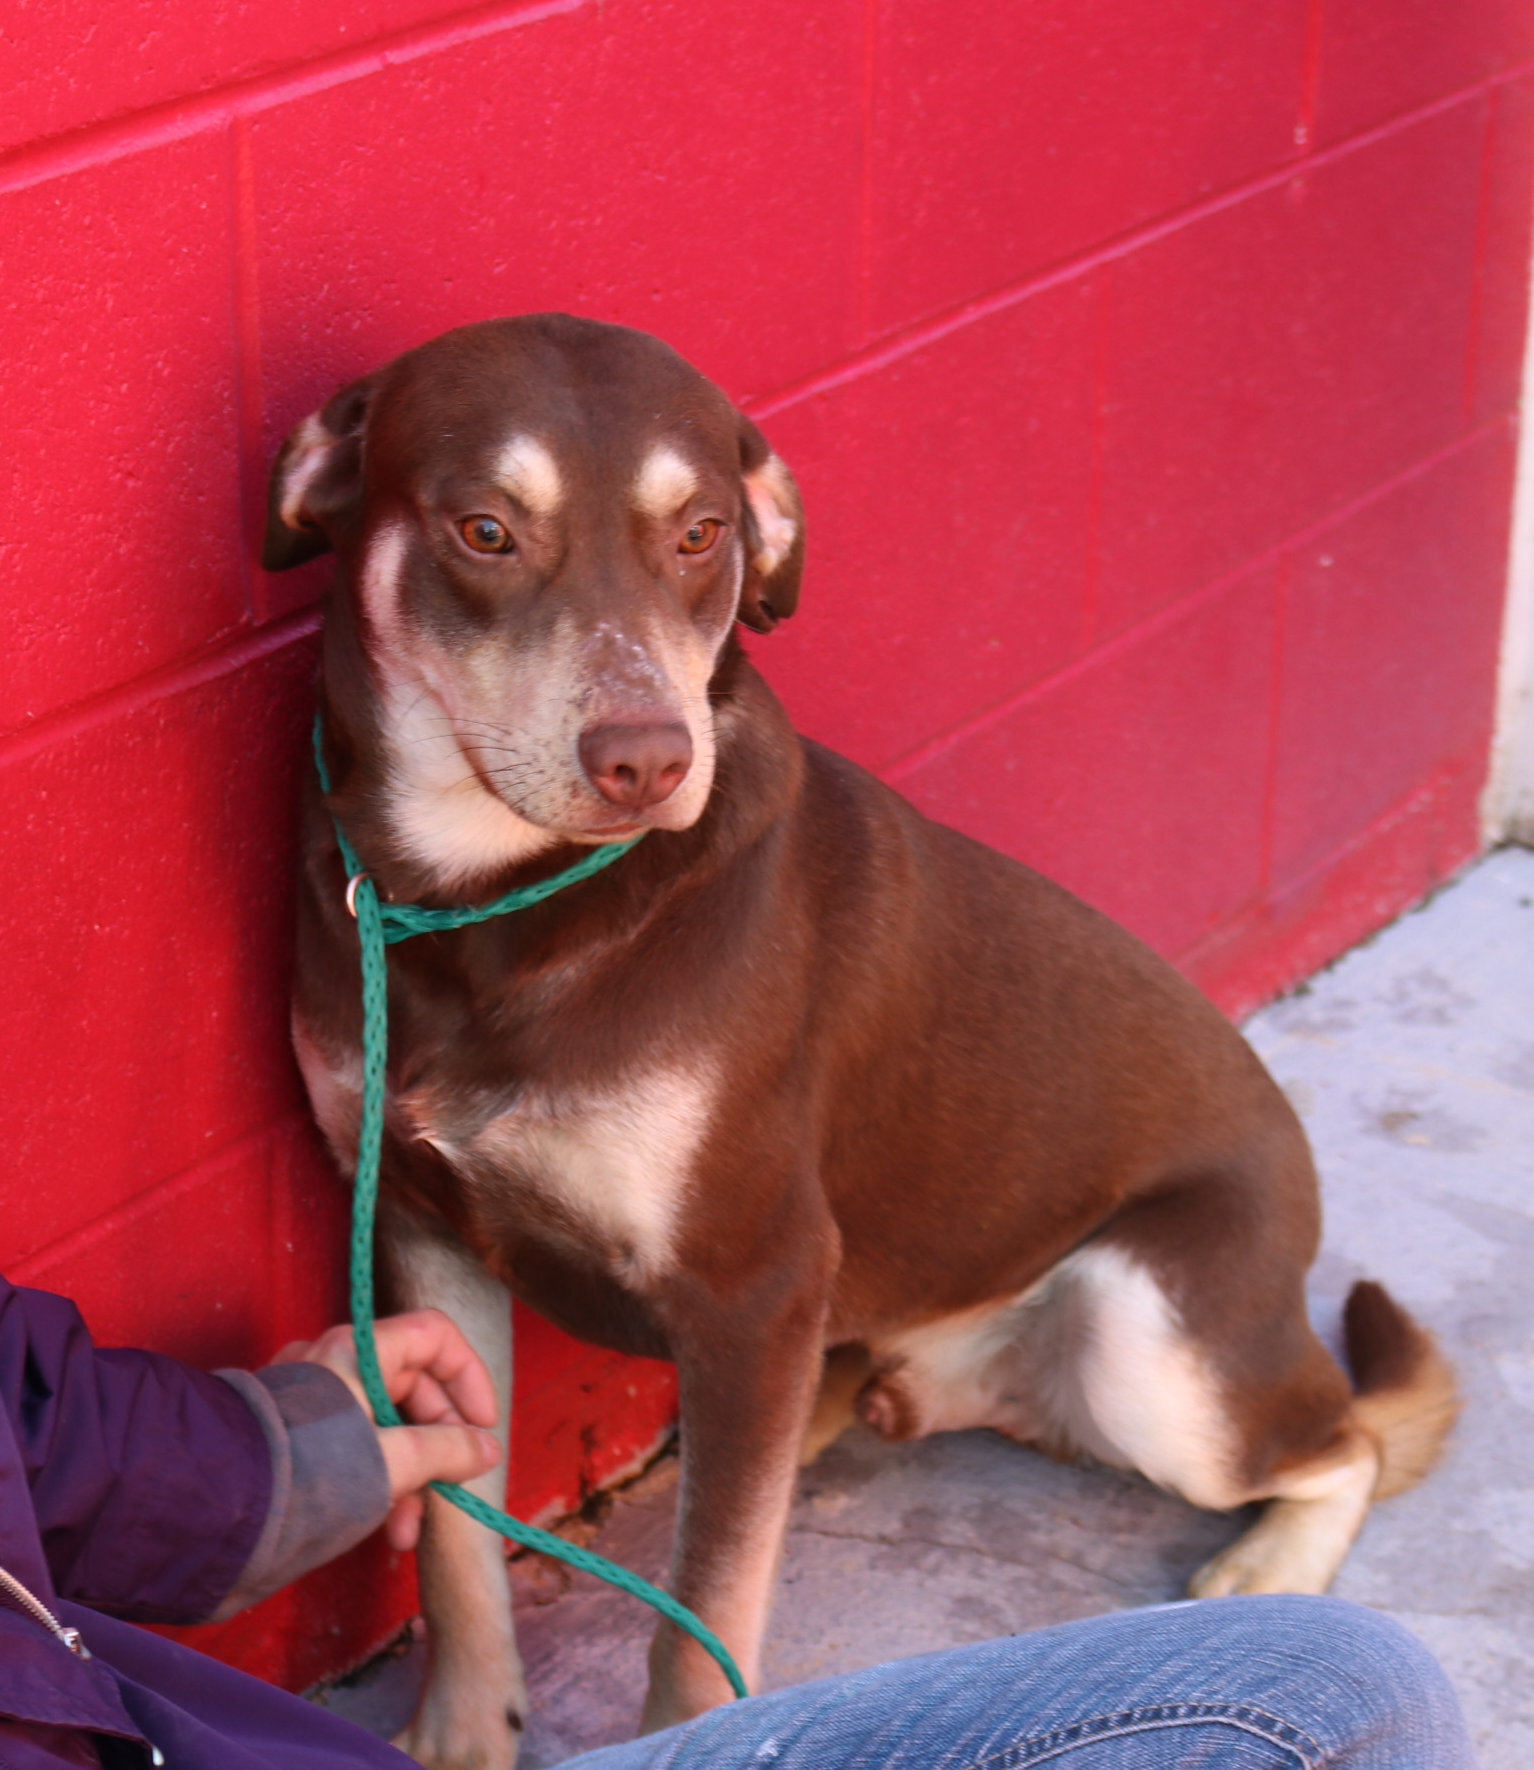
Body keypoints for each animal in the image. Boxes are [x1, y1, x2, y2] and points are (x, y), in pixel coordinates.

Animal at [270, 318, 1457, 1770]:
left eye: (702, 532)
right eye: (484, 529)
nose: (646, 761)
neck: (499, 904)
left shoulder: (751, 1279)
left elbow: (703, 1615)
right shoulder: (413, 1226)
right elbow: (451, 1529)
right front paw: (461, 1728)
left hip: (1157, 1349)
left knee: (1346, 1443)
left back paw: (1266, 1561)